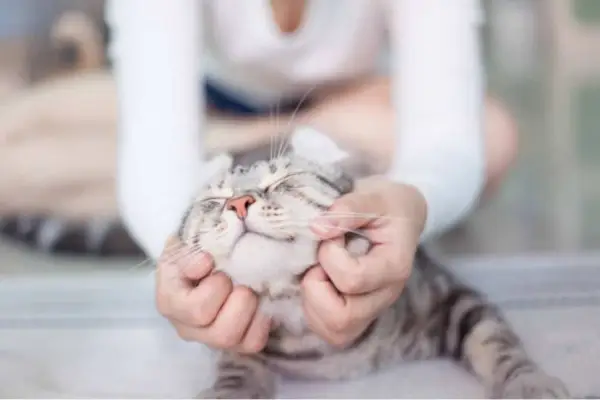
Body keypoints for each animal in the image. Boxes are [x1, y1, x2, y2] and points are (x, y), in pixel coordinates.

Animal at [175, 126, 572, 398]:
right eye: (214, 201)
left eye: (284, 181)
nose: (238, 203)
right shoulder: (237, 340)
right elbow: (234, 366)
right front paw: (227, 391)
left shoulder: (452, 297)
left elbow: (498, 345)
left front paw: (530, 384)